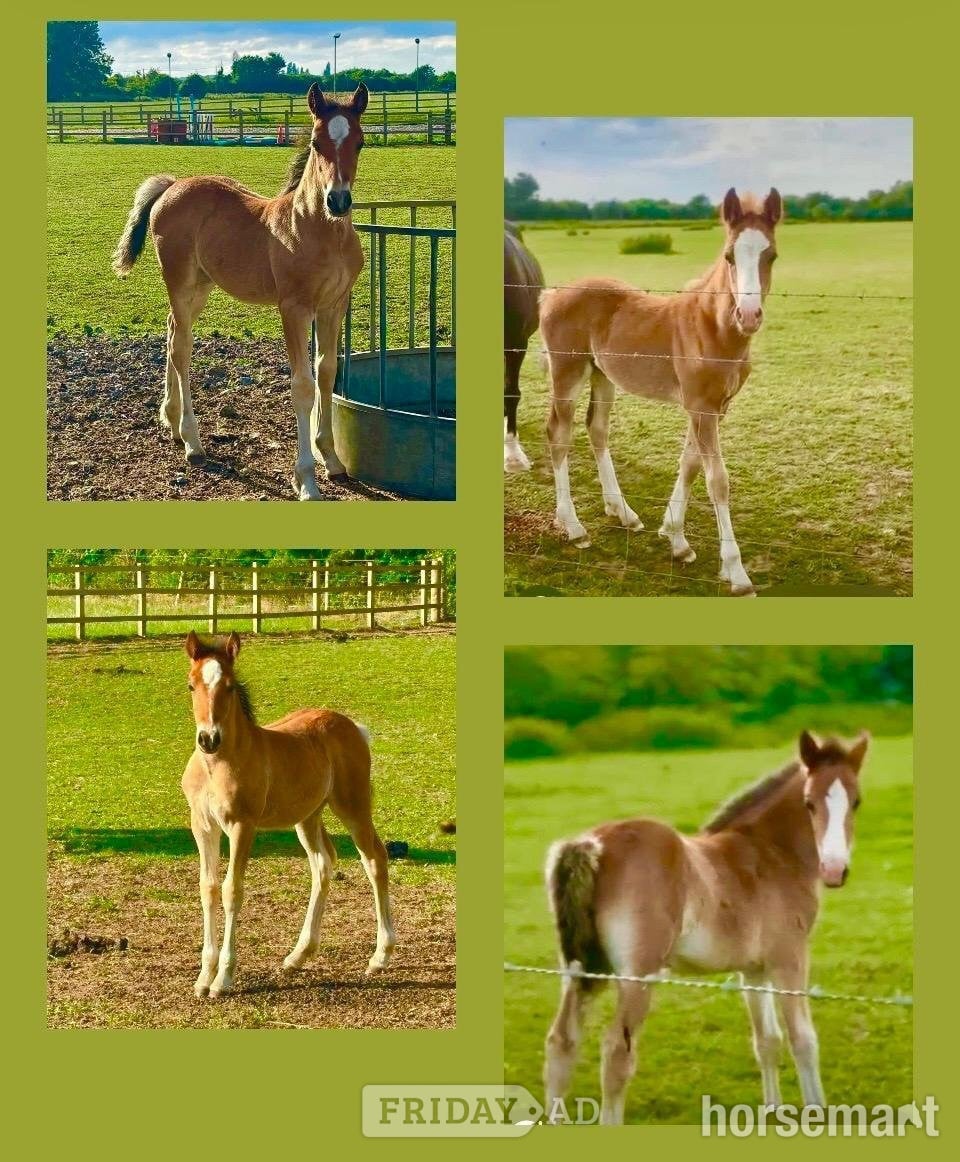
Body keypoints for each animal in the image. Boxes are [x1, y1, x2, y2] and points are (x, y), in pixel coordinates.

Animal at [111, 83, 368, 501]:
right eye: (316, 143)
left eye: (361, 142)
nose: (338, 200)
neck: (316, 228)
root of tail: (172, 185)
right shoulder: (294, 308)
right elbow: (302, 385)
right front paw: (306, 479)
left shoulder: (334, 305)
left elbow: (327, 372)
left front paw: (331, 459)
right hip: (179, 282)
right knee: (181, 347)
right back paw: (192, 442)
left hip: (200, 287)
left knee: (171, 332)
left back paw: (170, 419)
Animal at [180, 631, 395, 998]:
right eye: (192, 685)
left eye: (230, 686)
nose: (208, 739)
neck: (217, 765)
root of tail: (353, 726)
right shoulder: (203, 826)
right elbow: (208, 889)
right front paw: (203, 977)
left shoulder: (242, 825)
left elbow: (231, 890)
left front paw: (223, 979)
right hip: (307, 817)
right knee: (323, 864)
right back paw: (298, 956)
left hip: (352, 806)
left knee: (374, 860)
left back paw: (380, 957)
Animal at [538, 188, 782, 595]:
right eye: (729, 256)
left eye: (771, 255)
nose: (748, 315)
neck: (712, 328)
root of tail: (551, 294)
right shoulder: (701, 407)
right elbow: (717, 481)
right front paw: (736, 572)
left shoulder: (712, 407)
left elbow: (690, 464)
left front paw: (675, 539)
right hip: (567, 372)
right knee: (559, 433)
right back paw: (574, 527)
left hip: (602, 375)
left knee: (597, 429)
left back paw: (623, 512)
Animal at [543, 729, 869, 1124]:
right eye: (809, 803)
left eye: (856, 802)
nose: (835, 870)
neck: (770, 853)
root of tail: (592, 845)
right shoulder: (789, 959)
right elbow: (803, 1039)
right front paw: (817, 1113)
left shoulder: (753, 970)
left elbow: (767, 1041)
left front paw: (772, 1112)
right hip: (637, 975)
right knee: (616, 1053)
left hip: (582, 970)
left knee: (562, 1042)